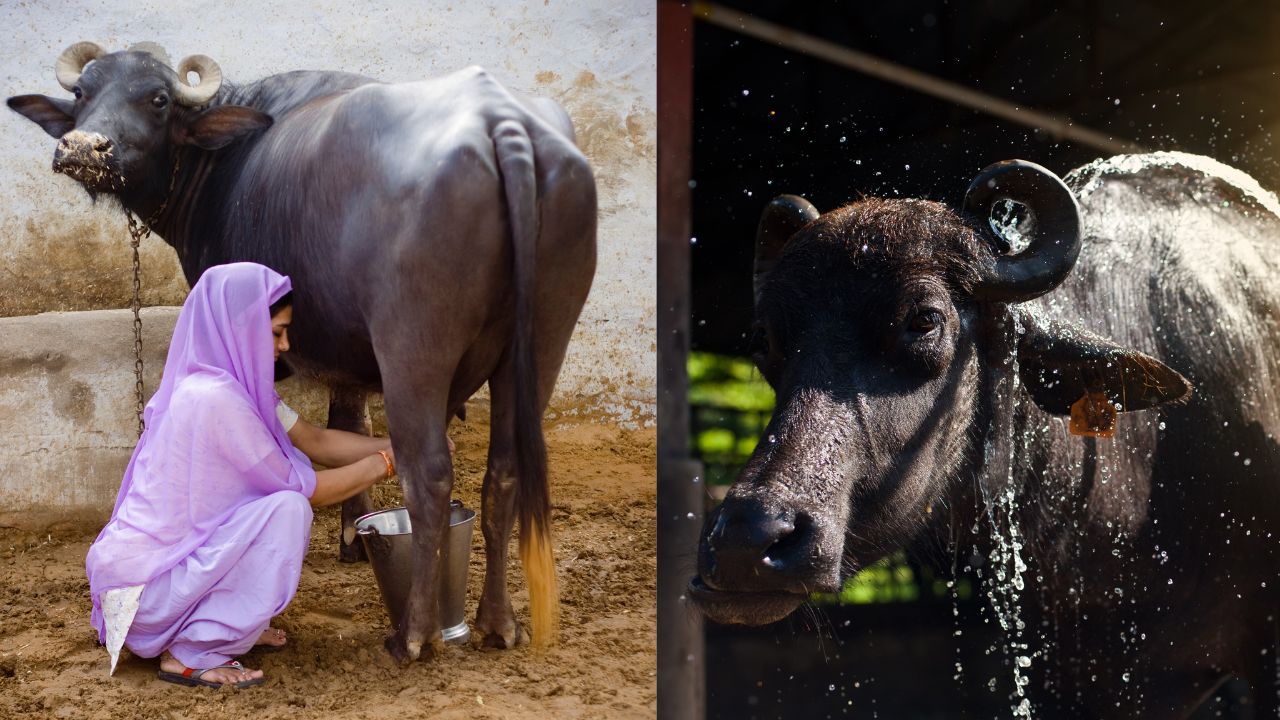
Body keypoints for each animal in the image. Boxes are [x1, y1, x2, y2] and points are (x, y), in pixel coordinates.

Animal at [8, 42, 597, 662]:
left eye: (159, 98)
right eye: (82, 92)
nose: (82, 147)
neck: (219, 166)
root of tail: (500, 122)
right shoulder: (348, 354)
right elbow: (351, 424)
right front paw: (356, 535)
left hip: (413, 345)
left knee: (431, 475)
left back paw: (414, 635)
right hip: (545, 339)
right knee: (504, 471)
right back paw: (497, 621)